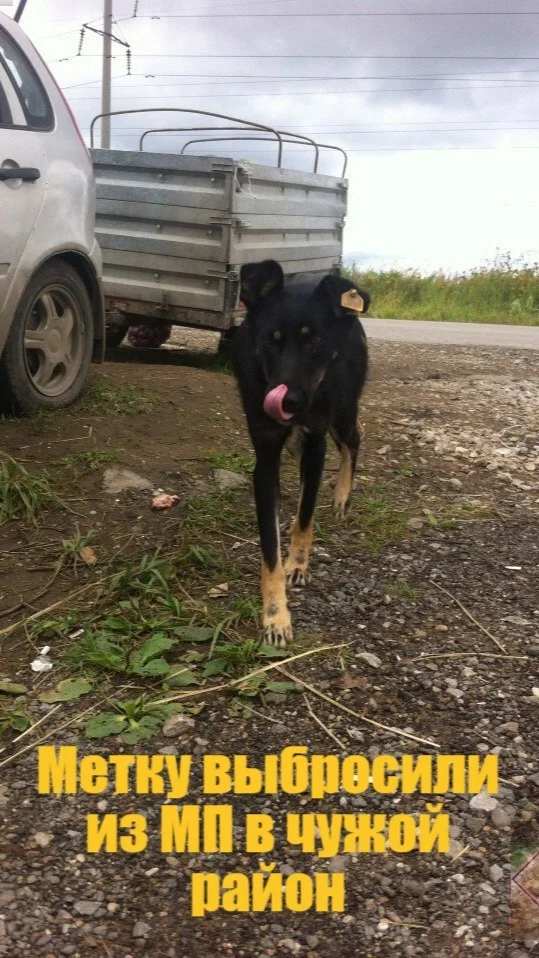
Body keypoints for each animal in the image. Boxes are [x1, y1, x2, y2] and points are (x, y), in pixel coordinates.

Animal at [233, 262, 372, 648]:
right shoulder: (265, 459)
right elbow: (269, 551)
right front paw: (275, 615)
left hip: (342, 410)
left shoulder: (315, 445)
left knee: (354, 439)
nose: (290, 403)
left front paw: (297, 563)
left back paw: (342, 496)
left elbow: (305, 516)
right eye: (270, 339)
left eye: (316, 341)